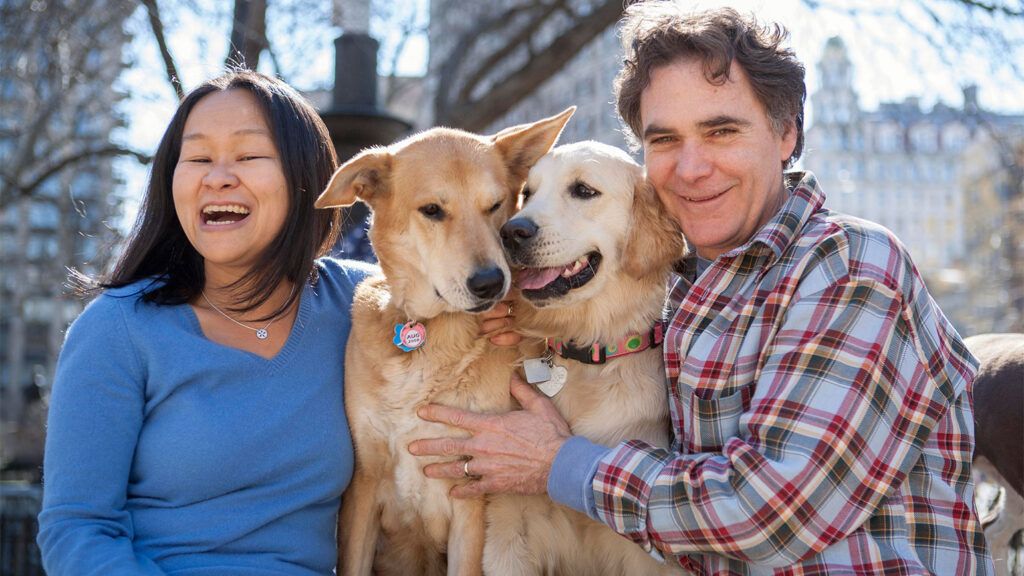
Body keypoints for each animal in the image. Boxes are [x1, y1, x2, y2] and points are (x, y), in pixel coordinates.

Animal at [315, 108, 573, 573]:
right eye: (432, 210)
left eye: (495, 205)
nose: (490, 283)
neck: (430, 333)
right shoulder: (364, 488)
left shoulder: (470, 502)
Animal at [487, 140, 688, 573]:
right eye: (528, 192)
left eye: (583, 190)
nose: (511, 231)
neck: (583, 350)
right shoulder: (509, 528)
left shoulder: (642, 556)